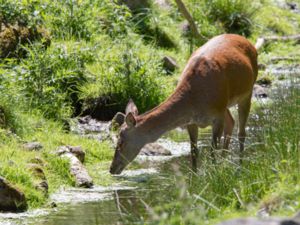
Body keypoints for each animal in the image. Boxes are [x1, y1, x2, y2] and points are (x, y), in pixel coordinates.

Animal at [110, 33, 258, 174]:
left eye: (121, 141)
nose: (112, 169)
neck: (195, 99)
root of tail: (248, 41)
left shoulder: (217, 115)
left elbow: (212, 150)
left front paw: (215, 174)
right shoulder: (191, 121)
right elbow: (193, 151)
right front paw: (195, 176)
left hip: (247, 91)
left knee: (241, 132)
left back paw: (239, 166)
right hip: (225, 103)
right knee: (231, 122)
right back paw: (225, 163)